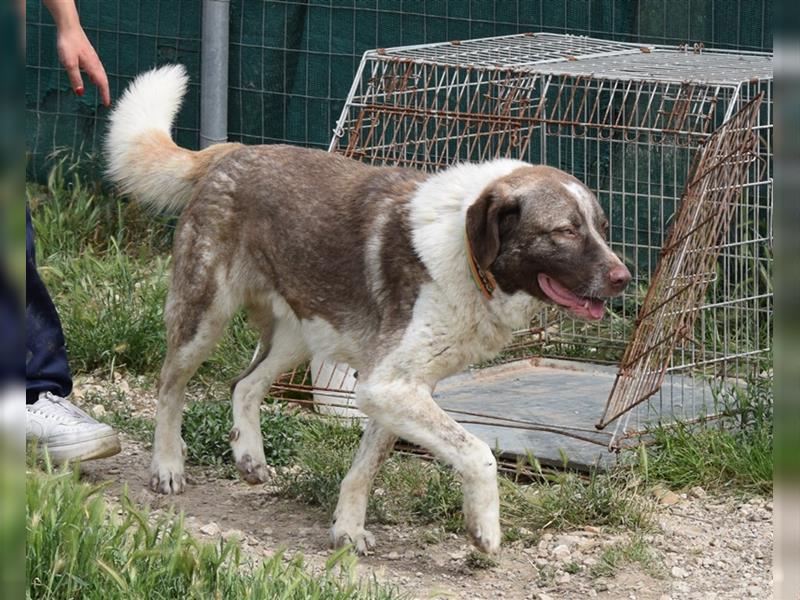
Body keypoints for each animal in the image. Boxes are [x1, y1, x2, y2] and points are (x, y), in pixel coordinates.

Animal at [104, 64, 632, 552]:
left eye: (602, 228)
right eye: (564, 231)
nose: (624, 278)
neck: (465, 254)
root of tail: (232, 151)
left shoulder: (395, 389)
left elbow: (364, 469)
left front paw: (347, 530)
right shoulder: (390, 386)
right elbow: (478, 451)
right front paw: (484, 526)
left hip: (301, 334)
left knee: (244, 383)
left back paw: (249, 456)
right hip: (204, 316)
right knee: (170, 386)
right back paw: (167, 465)